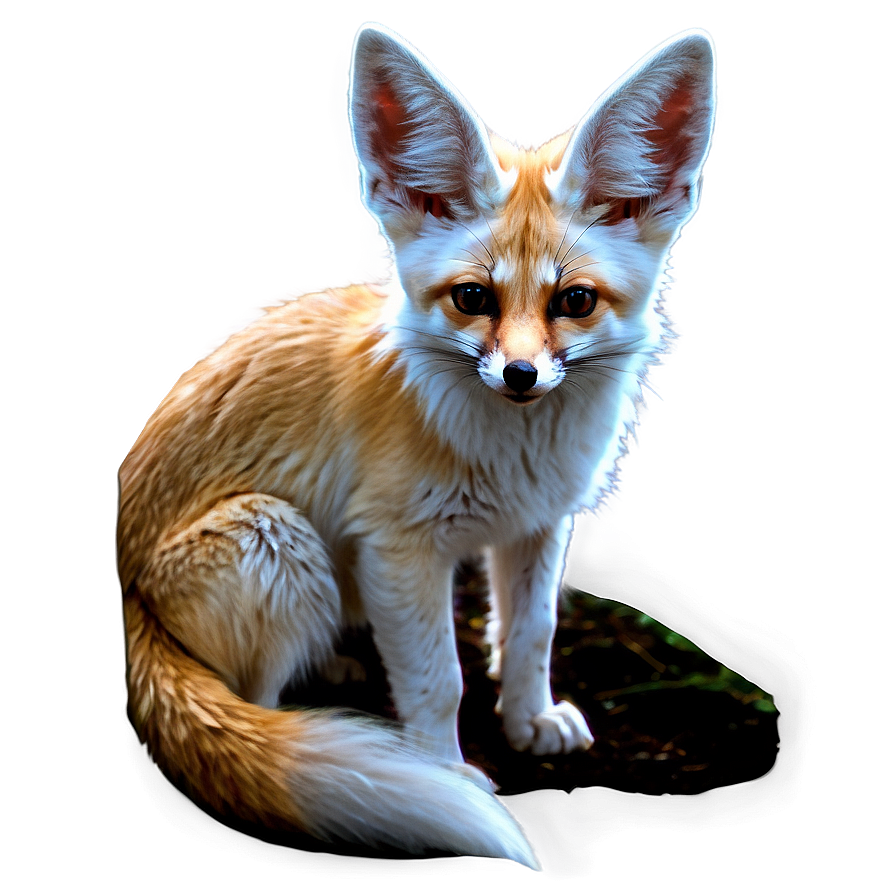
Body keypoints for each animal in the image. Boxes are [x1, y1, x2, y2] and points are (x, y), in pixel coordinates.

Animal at [118, 23, 715, 871]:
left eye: (574, 302)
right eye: (473, 298)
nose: (521, 375)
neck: (514, 454)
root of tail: (124, 591)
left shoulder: (538, 526)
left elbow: (530, 634)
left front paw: (528, 723)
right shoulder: (400, 551)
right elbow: (440, 680)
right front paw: (441, 772)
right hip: (274, 535)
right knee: (253, 711)